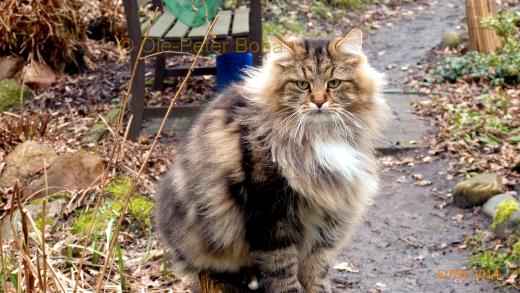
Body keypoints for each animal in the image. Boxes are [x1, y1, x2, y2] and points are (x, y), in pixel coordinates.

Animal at [154, 30, 390, 292]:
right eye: (302, 84)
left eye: (334, 83)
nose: (319, 102)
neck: (319, 138)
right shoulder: (269, 211)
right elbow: (281, 269)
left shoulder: (331, 212)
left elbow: (318, 266)